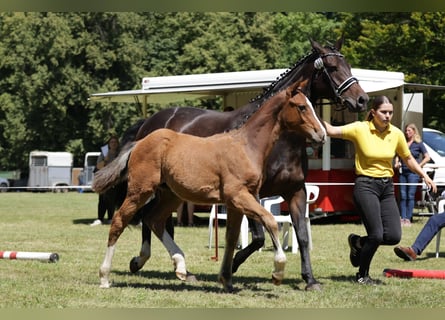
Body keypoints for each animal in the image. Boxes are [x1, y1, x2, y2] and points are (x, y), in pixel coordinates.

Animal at [92, 81, 324, 292]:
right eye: (302, 107)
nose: (321, 134)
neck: (247, 146)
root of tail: (139, 142)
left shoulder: (237, 202)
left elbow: (231, 238)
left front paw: (226, 279)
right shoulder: (240, 196)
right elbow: (270, 221)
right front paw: (277, 272)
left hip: (171, 195)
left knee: (153, 220)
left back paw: (181, 266)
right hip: (140, 191)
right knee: (119, 221)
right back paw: (104, 277)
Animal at [114, 37, 368, 290]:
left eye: (349, 66)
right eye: (332, 67)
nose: (361, 99)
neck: (279, 139)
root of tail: (149, 122)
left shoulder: (296, 191)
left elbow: (302, 236)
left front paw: (310, 279)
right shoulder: (251, 193)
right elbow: (259, 237)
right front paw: (233, 265)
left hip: (171, 189)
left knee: (158, 219)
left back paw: (180, 268)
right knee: (148, 217)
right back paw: (142, 260)